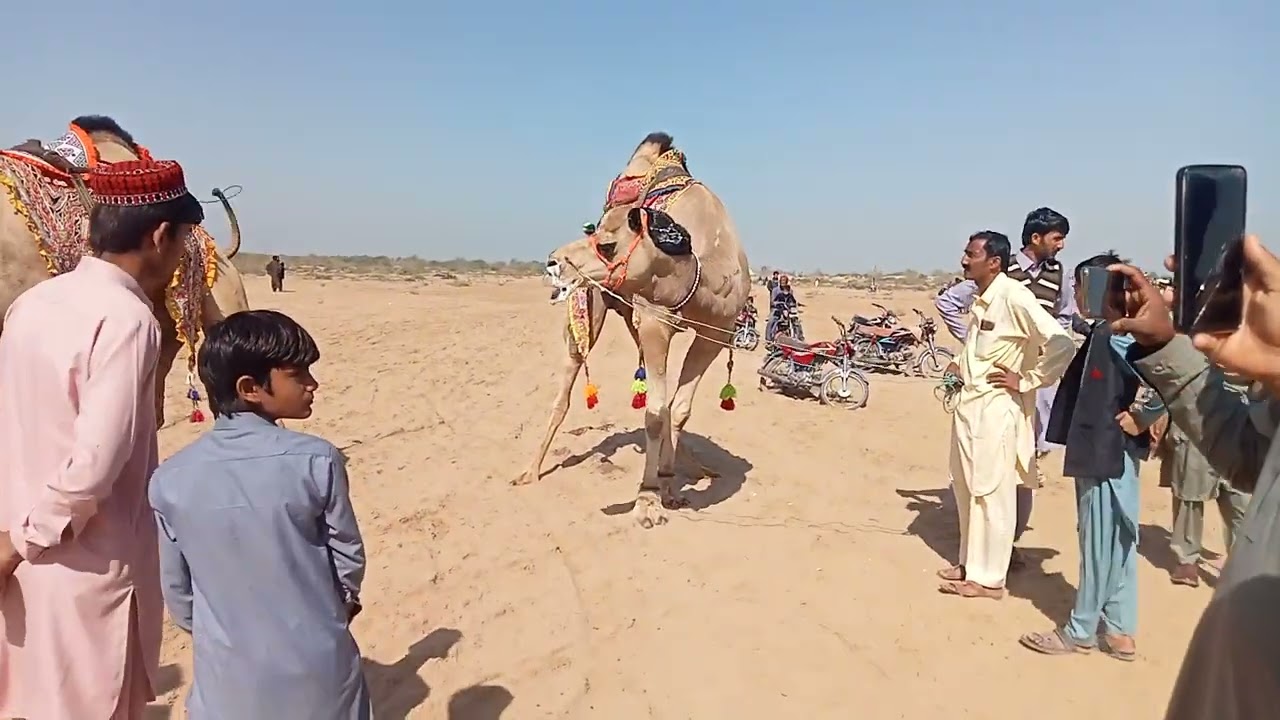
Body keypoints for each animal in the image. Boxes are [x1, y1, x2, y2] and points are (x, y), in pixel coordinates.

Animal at [538, 133, 751, 528]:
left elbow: (677, 408)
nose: (553, 261)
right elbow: (654, 413)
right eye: (597, 232)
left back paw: (695, 468)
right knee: (566, 387)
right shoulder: (656, 321)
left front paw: (669, 486)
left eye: (608, 245)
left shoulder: (716, 333)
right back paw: (529, 473)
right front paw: (648, 499)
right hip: (591, 305)